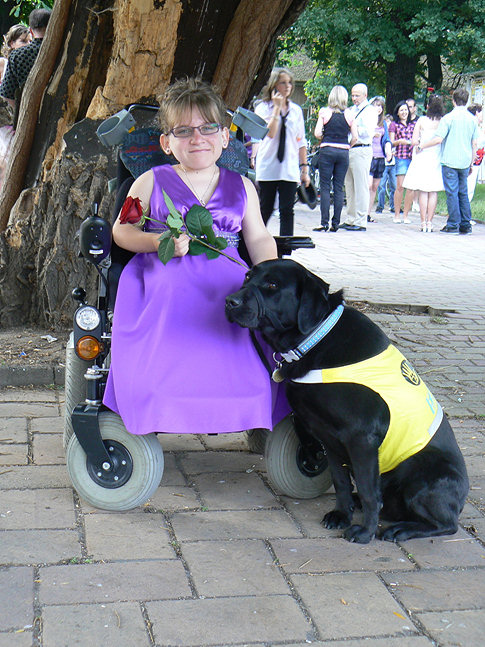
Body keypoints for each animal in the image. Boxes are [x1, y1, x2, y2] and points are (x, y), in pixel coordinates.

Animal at [227, 260, 468, 544]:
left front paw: (364, 532)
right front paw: (341, 514)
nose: (229, 301)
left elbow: (368, 490)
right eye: (248, 276)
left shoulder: (361, 439)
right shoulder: (328, 438)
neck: (316, 339)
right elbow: (341, 482)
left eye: (273, 284)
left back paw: (400, 529)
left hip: (425, 474)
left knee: (447, 524)